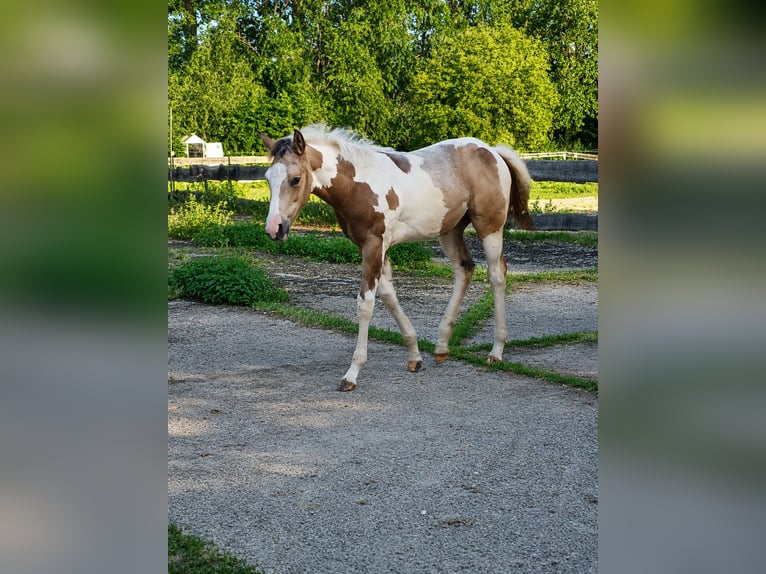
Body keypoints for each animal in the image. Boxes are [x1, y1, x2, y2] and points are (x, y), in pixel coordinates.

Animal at [259, 124, 535, 391]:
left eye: (295, 179)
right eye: (268, 178)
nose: (274, 229)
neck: (359, 184)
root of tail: (492, 151)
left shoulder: (374, 245)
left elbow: (366, 305)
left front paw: (352, 374)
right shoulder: (371, 248)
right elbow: (389, 296)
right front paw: (414, 355)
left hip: (489, 227)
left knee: (496, 275)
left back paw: (496, 350)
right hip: (449, 229)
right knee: (464, 268)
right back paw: (442, 346)